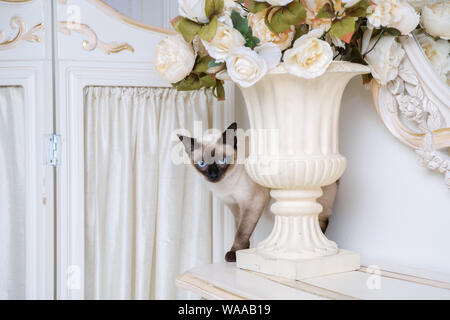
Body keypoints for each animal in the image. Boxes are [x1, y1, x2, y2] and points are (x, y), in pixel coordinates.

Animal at [179, 123, 338, 262]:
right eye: (202, 164)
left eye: (222, 160)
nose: (213, 175)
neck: (226, 186)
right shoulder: (235, 206)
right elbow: (239, 228)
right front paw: (242, 251)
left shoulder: (252, 202)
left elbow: (242, 231)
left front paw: (234, 253)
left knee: (321, 221)